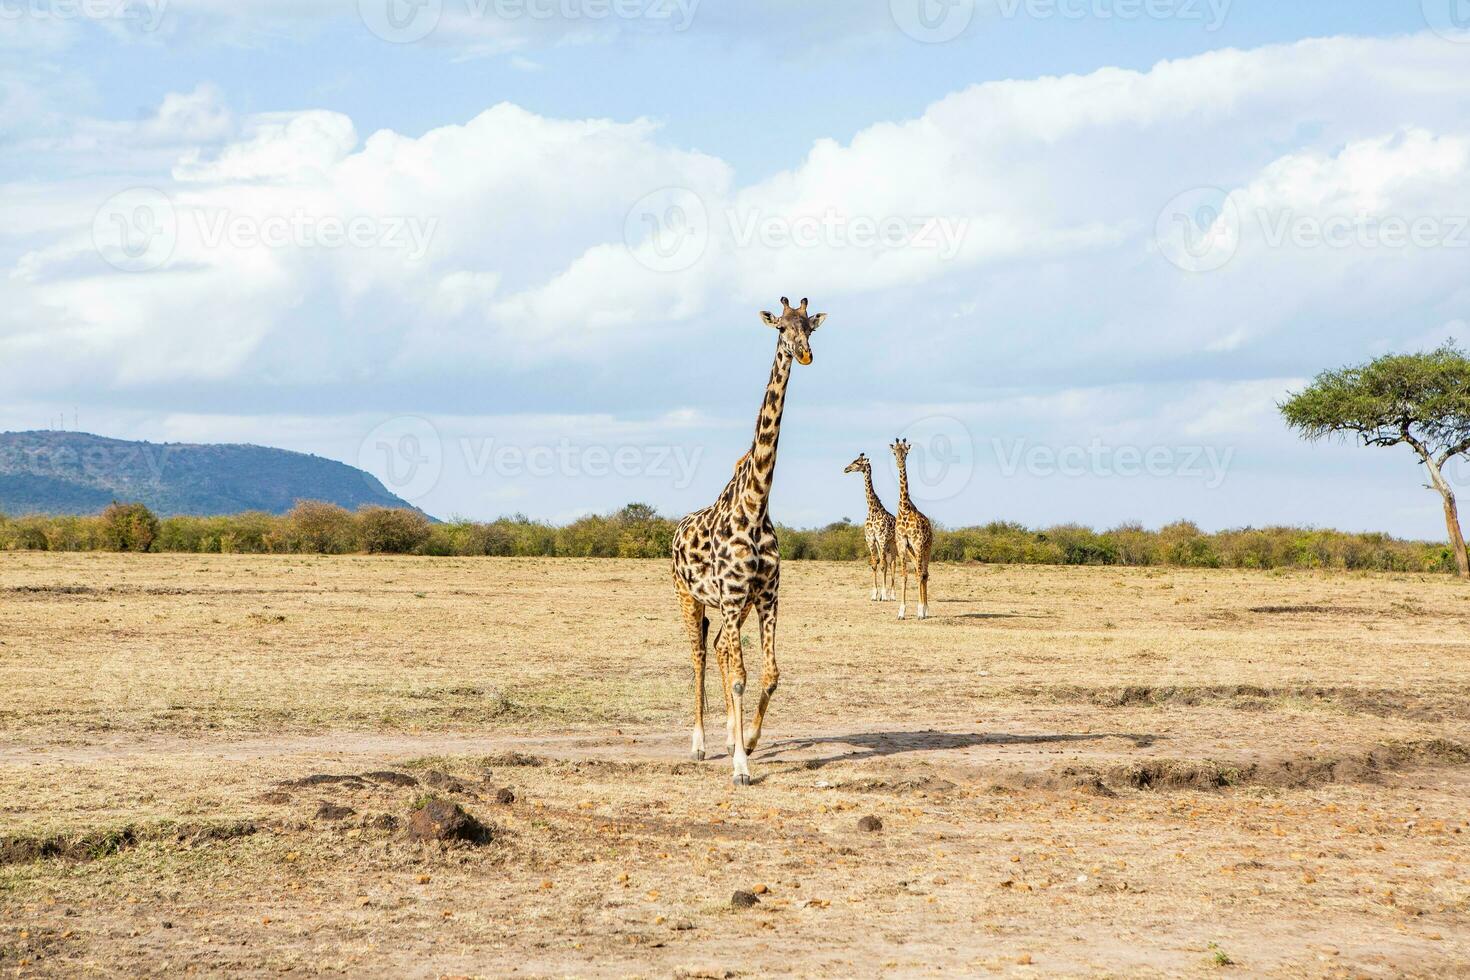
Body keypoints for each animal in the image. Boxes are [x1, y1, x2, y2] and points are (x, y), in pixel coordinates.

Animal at [670, 295, 823, 787]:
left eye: (809, 326)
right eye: (781, 328)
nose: (804, 354)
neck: (755, 506)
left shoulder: (767, 595)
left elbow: (769, 673)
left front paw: (750, 741)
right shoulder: (735, 596)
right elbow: (739, 675)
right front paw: (740, 765)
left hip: (727, 608)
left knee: (719, 648)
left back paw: (727, 733)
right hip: (688, 597)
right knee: (700, 656)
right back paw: (700, 744)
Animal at [846, 455, 899, 602]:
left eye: (858, 463)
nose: (846, 469)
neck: (873, 510)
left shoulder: (882, 538)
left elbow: (883, 565)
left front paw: (884, 595)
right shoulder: (871, 539)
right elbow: (875, 564)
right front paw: (875, 595)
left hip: (892, 544)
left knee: (892, 564)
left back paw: (892, 595)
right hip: (884, 545)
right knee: (887, 563)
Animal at [887, 437, 934, 620]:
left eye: (906, 452)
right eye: (895, 453)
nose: (900, 463)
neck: (905, 509)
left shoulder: (918, 543)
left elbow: (919, 574)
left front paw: (920, 611)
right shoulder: (902, 545)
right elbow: (904, 575)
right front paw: (901, 612)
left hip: (926, 548)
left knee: (924, 573)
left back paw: (925, 610)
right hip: (912, 550)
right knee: (920, 572)